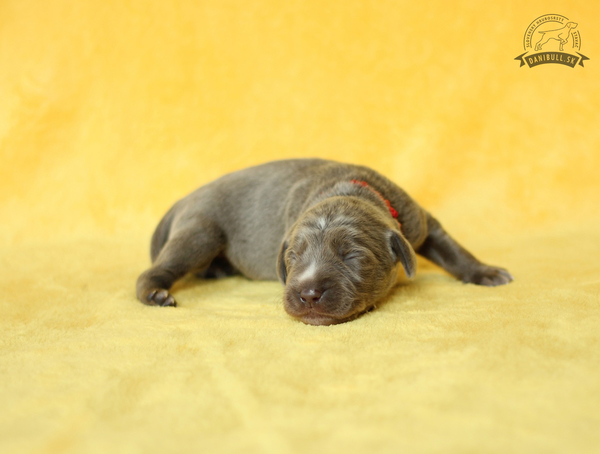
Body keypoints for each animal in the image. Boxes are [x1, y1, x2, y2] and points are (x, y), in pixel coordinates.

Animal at [138, 158, 512, 324]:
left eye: (352, 257)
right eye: (292, 257)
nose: (308, 293)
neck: (350, 188)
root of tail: (183, 199)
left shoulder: (421, 221)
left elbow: (453, 250)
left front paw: (484, 272)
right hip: (200, 230)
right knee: (155, 269)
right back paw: (156, 293)